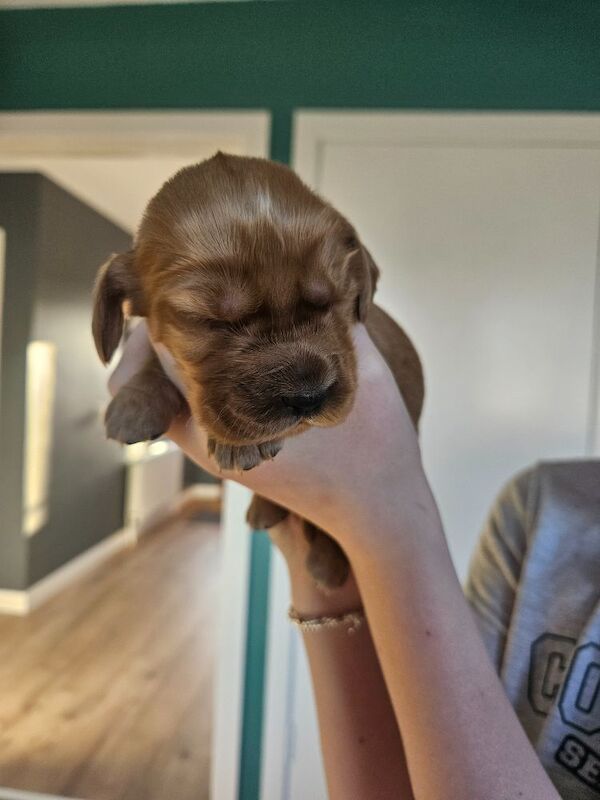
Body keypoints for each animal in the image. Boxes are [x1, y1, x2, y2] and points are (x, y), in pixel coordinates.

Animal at [91, 153, 424, 588]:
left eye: (331, 301)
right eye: (211, 321)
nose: (308, 397)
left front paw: (237, 445)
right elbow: (151, 349)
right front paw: (135, 404)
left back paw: (326, 562)